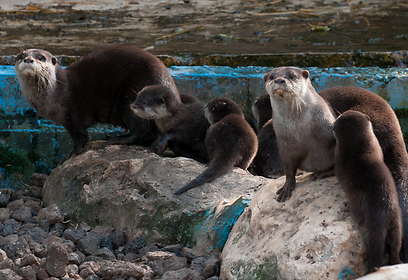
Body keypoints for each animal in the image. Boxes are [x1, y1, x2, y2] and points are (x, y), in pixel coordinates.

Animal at [15, 46, 178, 159]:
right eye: (21, 55)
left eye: (41, 57)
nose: (28, 59)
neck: (56, 91)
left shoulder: (72, 116)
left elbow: (80, 137)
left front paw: (72, 153)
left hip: (134, 99)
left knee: (144, 133)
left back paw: (117, 139)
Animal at [262, 65, 336, 201]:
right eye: (271, 76)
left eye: (291, 75)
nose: (279, 80)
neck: (301, 129)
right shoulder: (284, 146)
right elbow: (288, 169)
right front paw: (286, 188)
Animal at [334, 110, 404, 272]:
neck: (358, 151)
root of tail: (384, 210)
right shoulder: (376, 147)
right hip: (397, 223)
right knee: (394, 245)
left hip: (371, 222)